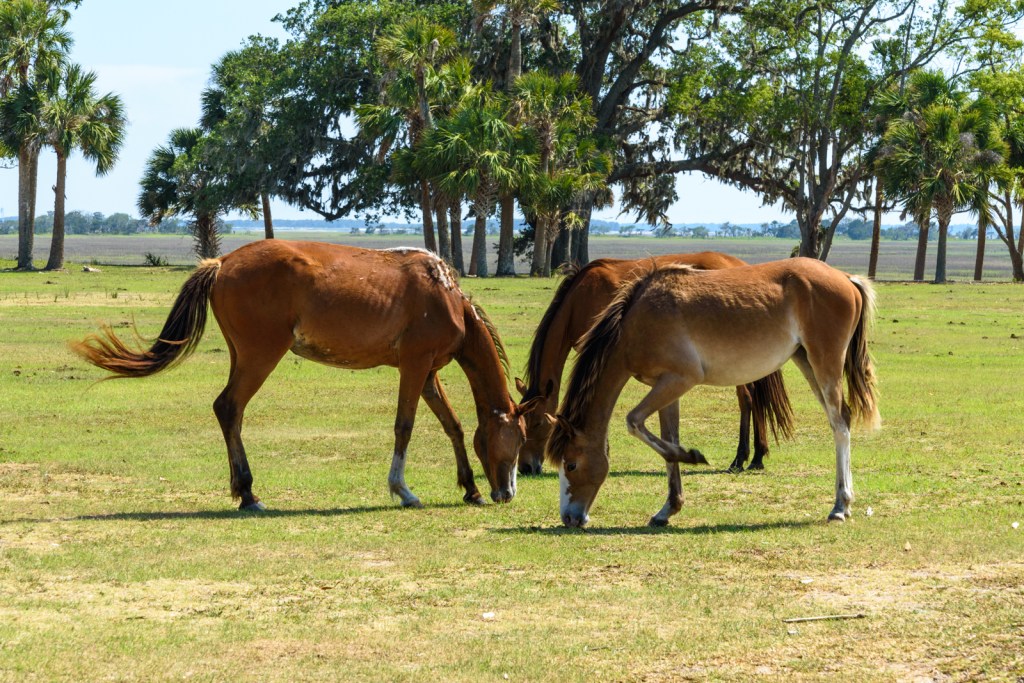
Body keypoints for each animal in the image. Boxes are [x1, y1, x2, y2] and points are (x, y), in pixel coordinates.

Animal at [72, 240, 537, 510]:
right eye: (519, 440)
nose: (507, 493)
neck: (445, 295)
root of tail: (222, 263)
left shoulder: (427, 372)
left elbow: (452, 426)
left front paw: (470, 488)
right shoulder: (414, 365)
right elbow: (404, 427)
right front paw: (403, 490)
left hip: (243, 355)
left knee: (229, 411)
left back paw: (243, 491)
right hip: (261, 355)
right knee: (230, 407)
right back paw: (248, 494)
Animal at [516, 253, 793, 475]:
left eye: (537, 423)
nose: (526, 467)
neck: (580, 297)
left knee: (747, 399)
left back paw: (742, 458)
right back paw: (756, 457)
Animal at [546, 258, 879, 528]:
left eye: (571, 464)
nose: (570, 518)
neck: (635, 322)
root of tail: (845, 278)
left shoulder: (680, 380)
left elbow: (634, 422)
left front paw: (693, 456)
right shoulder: (666, 387)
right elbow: (667, 441)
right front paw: (668, 508)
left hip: (825, 364)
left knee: (840, 425)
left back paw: (840, 506)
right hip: (807, 361)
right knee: (841, 419)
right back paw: (844, 503)